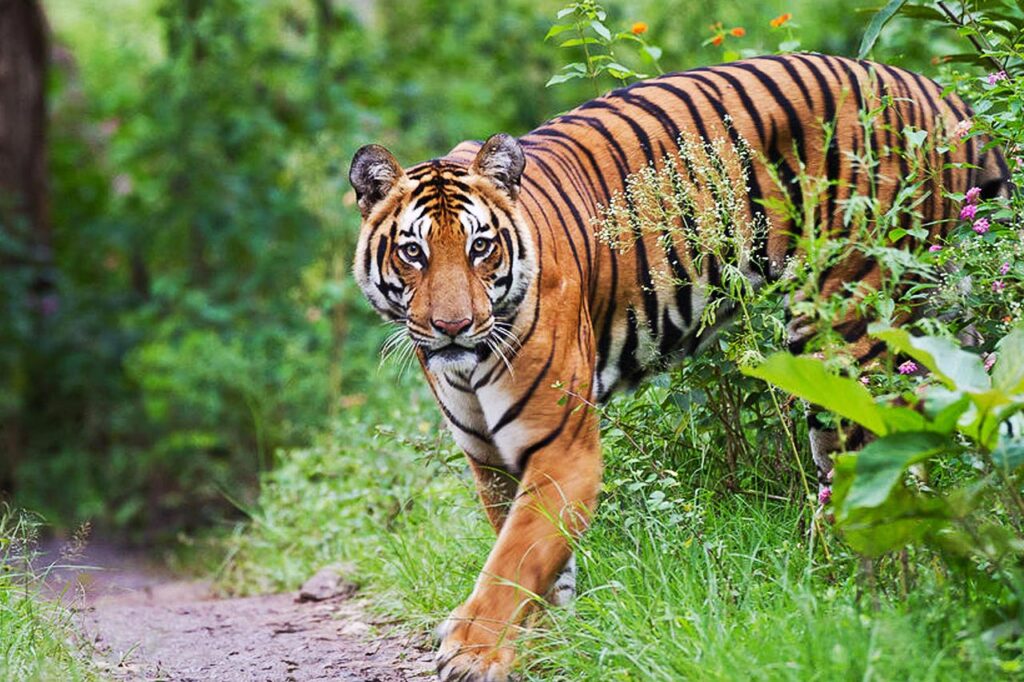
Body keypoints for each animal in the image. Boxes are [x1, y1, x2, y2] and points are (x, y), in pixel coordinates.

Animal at [348, 53, 1009, 681]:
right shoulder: (489, 458)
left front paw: (472, 652)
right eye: (414, 252)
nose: (452, 326)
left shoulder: (562, 450)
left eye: (480, 247)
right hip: (933, 325)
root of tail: (942, 96)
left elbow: (514, 559)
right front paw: (539, 649)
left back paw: (862, 592)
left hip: (848, 327)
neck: (469, 365)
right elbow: (536, 562)